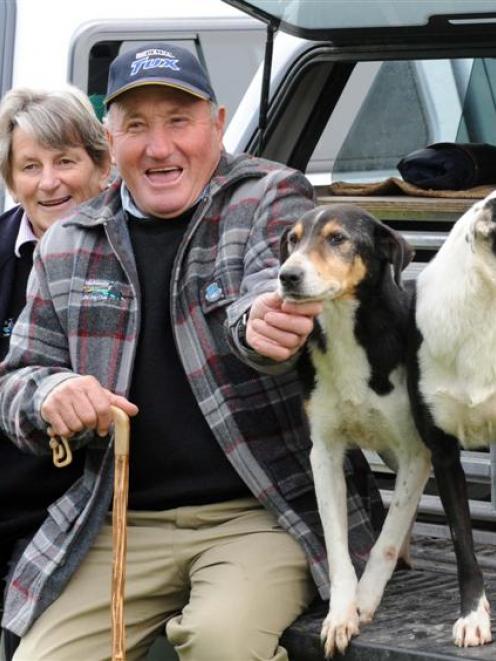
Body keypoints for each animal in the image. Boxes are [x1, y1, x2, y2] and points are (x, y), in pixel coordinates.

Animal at [278, 205, 432, 656]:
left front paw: (365, 601)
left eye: (338, 239)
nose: (287, 276)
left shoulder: (417, 453)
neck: (346, 329)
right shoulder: (324, 453)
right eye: (293, 239)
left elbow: (385, 541)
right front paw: (341, 614)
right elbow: (336, 546)